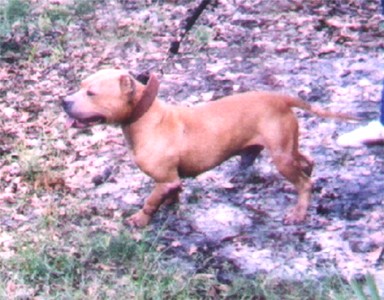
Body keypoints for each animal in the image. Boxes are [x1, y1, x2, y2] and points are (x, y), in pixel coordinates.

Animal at [62, 68, 356, 227]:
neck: (144, 116)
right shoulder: (171, 179)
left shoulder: (165, 179)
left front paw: (140, 220)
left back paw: (298, 213)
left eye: (91, 93)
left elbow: (150, 200)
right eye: (81, 86)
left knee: (303, 183)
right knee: (306, 161)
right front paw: (171, 206)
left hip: (281, 157)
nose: (63, 101)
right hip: (286, 147)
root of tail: (280, 98)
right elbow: (170, 193)